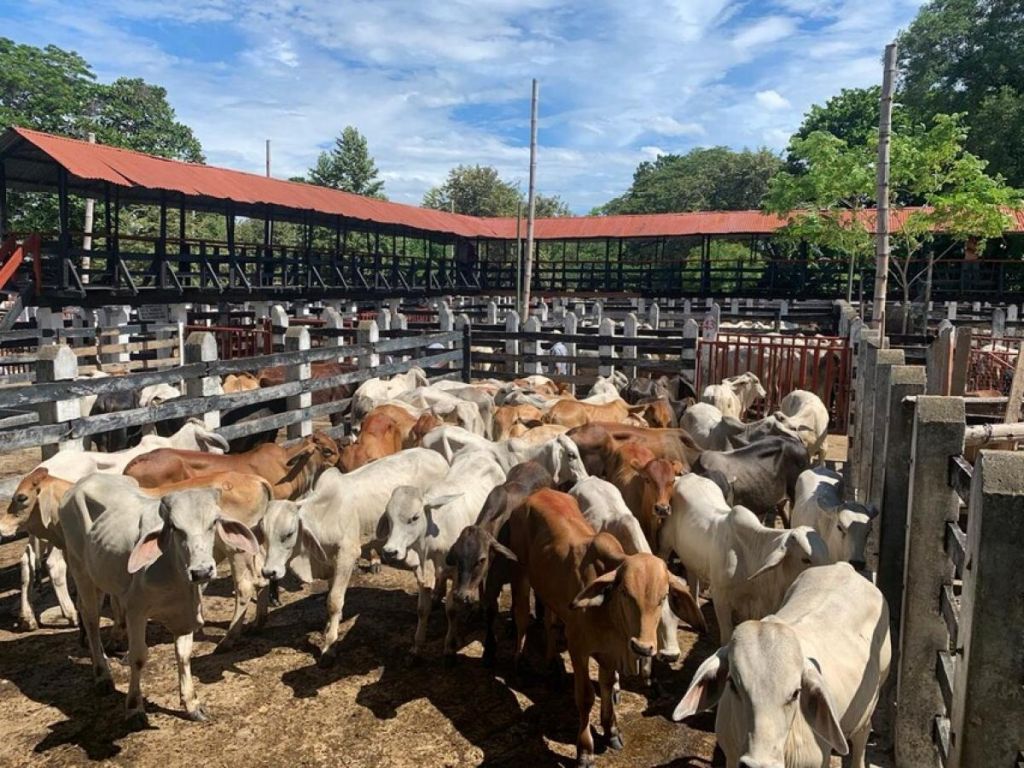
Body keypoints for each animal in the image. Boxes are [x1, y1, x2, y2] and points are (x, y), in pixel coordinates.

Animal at [503, 489, 704, 765]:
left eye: (663, 597)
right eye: (626, 593)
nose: (643, 648)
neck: (609, 613)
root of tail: (537, 492)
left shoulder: (609, 653)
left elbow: (607, 686)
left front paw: (611, 731)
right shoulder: (578, 649)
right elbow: (586, 697)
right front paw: (585, 750)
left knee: (548, 622)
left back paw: (552, 664)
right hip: (519, 572)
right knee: (522, 616)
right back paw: (519, 662)